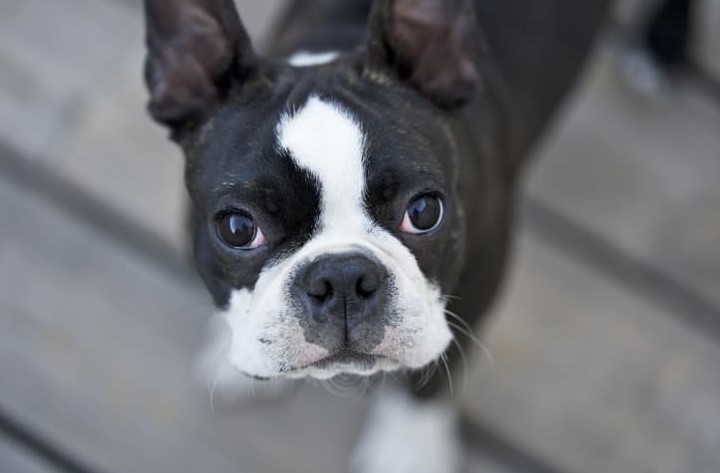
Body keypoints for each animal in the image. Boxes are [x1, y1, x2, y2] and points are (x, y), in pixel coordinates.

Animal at [143, 0, 612, 468]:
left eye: (423, 211)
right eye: (238, 229)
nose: (342, 278)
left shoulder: (479, 282)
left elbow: (430, 378)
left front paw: (408, 450)